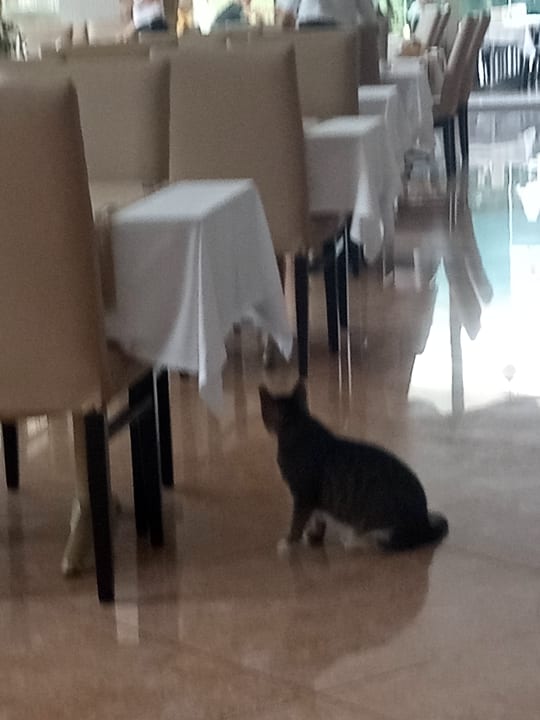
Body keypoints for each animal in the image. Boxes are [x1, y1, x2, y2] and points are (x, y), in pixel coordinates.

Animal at [259, 381, 448, 551]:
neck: (298, 424)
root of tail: (425, 526)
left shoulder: (304, 494)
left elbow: (298, 521)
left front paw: (289, 542)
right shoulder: (315, 498)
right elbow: (318, 517)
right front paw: (315, 536)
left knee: (389, 543)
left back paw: (357, 541)